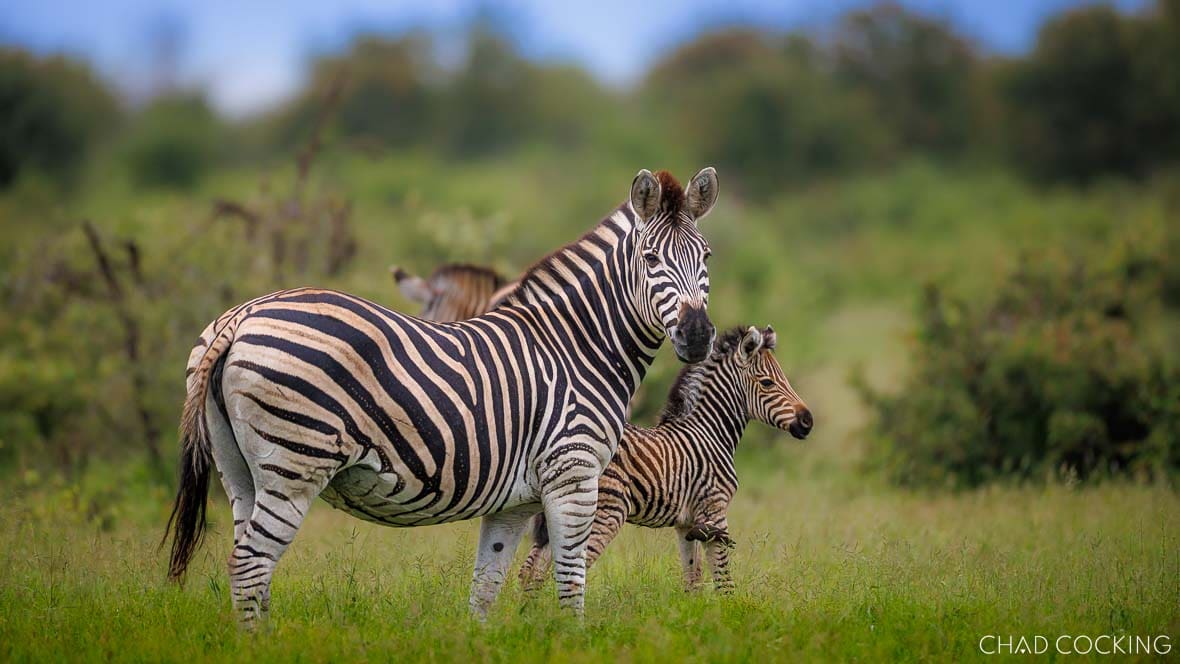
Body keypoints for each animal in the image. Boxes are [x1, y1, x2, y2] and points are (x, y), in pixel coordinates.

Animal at [164, 167, 720, 625]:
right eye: (650, 258)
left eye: (707, 257)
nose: (697, 335)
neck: (577, 344)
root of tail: (241, 316)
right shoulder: (574, 475)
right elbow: (570, 578)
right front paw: (574, 640)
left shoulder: (517, 501)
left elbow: (486, 587)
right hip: (295, 464)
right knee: (249, 566)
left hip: (240, 471)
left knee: (250, 563)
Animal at [516, 325, 812, 594]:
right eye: (767, 383)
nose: (807, 421)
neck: (710, 431)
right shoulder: (715, 511)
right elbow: (724, 580)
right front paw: (730, 612)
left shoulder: (688, 523)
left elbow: (693, 578)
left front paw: (695, 614)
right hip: (604, 511)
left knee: (531, 572)